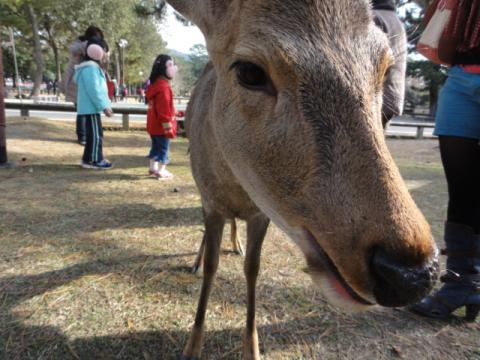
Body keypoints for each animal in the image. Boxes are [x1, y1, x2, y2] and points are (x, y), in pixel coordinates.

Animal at [167, 1, 440, 358]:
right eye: (249, 72)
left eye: (384, 68)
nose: (412, 273)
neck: (236, 190)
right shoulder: (212, 202)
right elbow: (213, 266)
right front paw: (192, 346)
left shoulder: (261, 214)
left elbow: (253, 268)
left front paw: (252, 348)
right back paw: (197, 261)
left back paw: (235, 244)